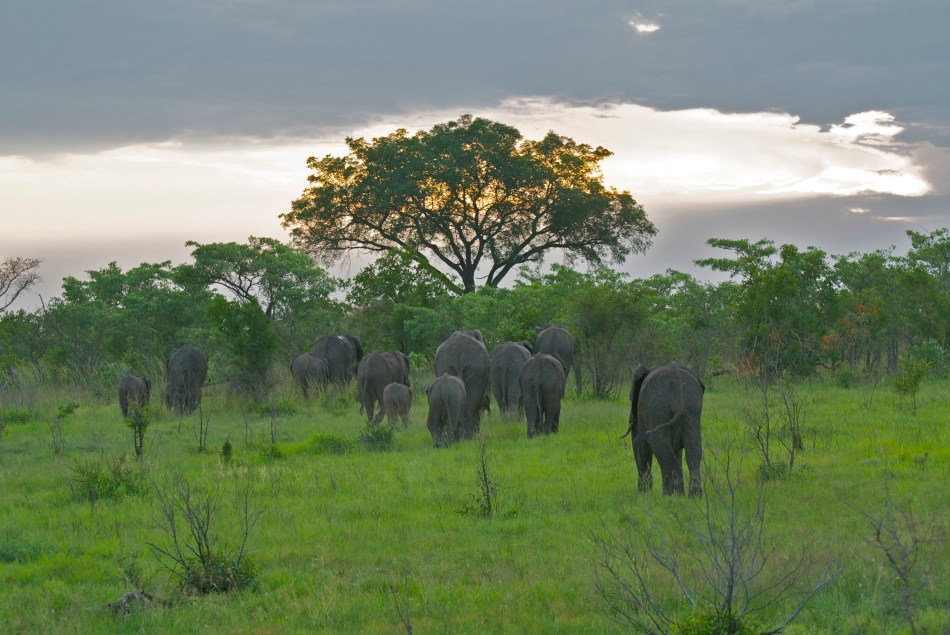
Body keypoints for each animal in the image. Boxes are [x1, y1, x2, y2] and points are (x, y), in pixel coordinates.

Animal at [621, 363, 705, 496]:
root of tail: (680, 396)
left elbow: (641, 446)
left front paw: (643, 493)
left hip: (656, 409)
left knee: (660, 446)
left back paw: (672, 495)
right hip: (692, 411)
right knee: (693, 449)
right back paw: (692, 496)